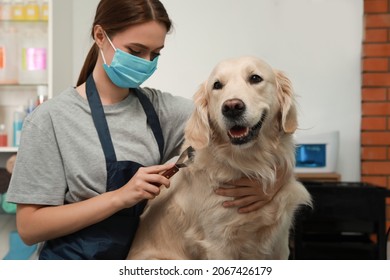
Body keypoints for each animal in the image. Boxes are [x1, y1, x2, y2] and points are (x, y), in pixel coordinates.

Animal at [127, 55, 310, 260]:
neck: (250, 163)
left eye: (255, 78)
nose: (232, 107)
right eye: (217, 85)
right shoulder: (218, 243)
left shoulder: (279, 244)